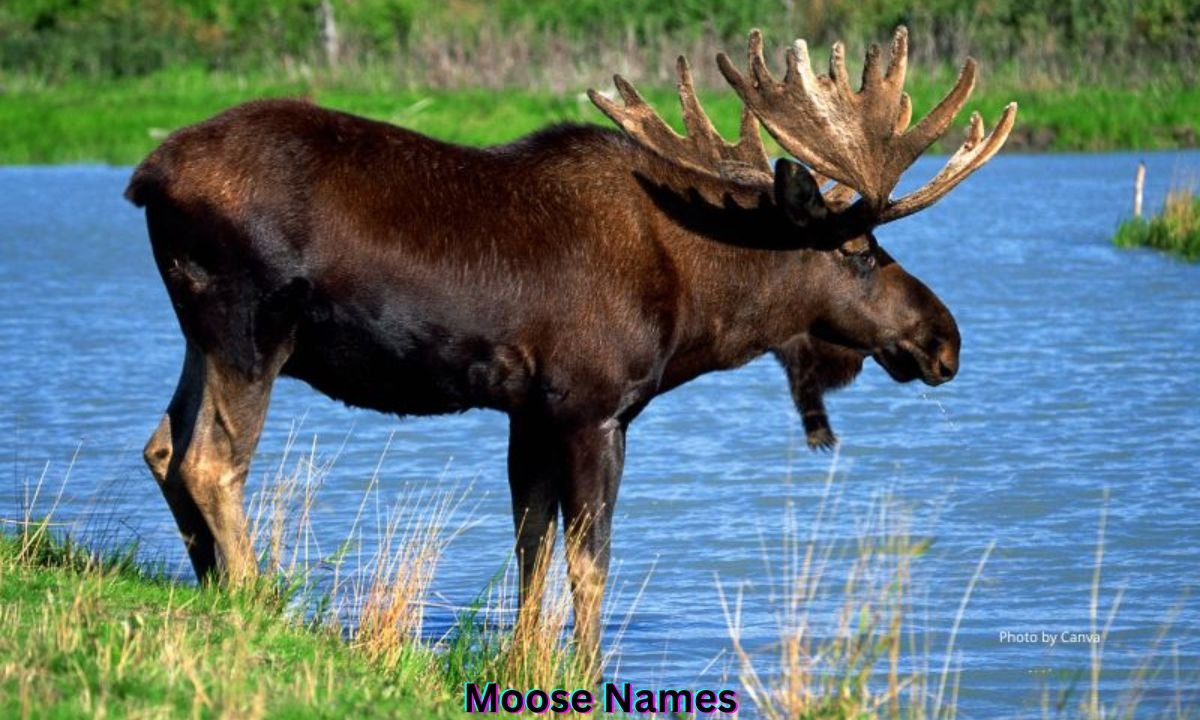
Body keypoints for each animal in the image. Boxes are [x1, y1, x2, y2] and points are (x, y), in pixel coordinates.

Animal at [125, 27, 1015, 677]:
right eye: (860, 250)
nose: (945, 339)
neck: (700, 304)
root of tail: (145, 176)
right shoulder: (595, 408)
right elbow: (591, 559)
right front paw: (585, 670)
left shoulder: (530, 411)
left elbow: (531, 546)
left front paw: (524, 661)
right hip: (251, 325)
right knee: (212, 459)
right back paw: (254, 602)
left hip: (199, 332)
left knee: (163, 444)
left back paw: (213, 590)